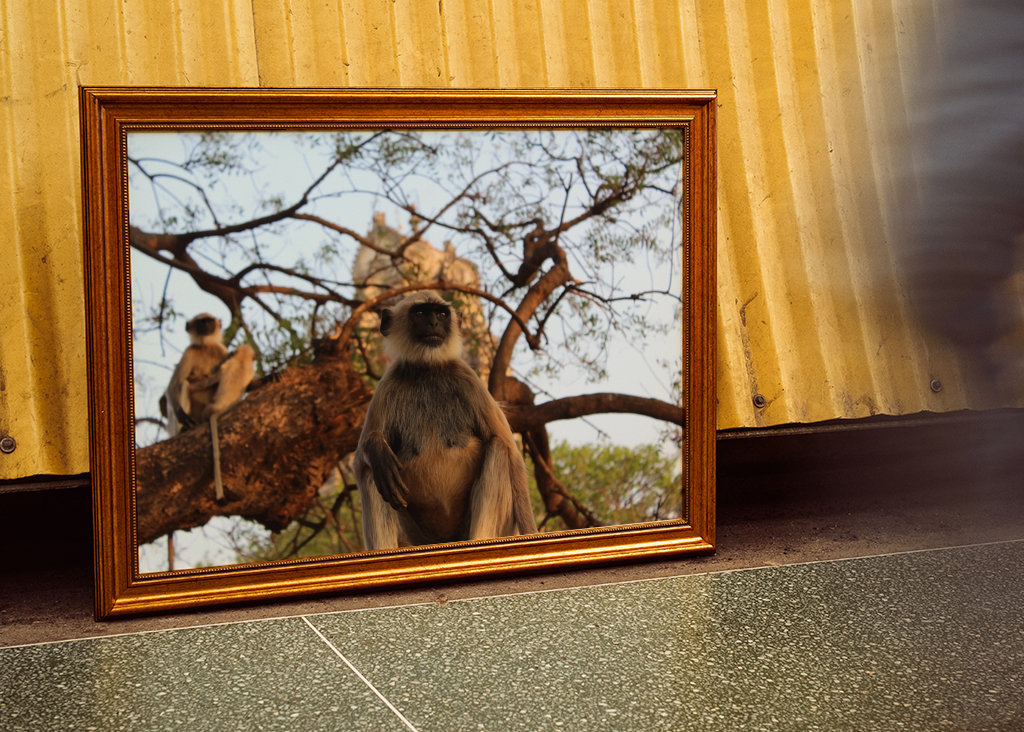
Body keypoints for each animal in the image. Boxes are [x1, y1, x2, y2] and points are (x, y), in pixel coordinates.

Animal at [161, 313, 255, 502]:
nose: (205, 326)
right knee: (183, 384)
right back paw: (183, 429)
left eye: (209, 322)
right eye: (200, 323)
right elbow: (173, 386)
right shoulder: (189, 352)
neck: (205, 346)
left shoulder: (221, 350)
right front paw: (181, 415)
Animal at [354, 291, 537, 550]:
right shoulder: (387, 385)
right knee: (374, 470)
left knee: (498, 447)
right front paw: (375, 445)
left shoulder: (468, 380)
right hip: (413, 538)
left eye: (441, 314)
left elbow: (512, 453)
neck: (428, 369)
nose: (433, 323)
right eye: (420, 313)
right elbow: (360, 461)